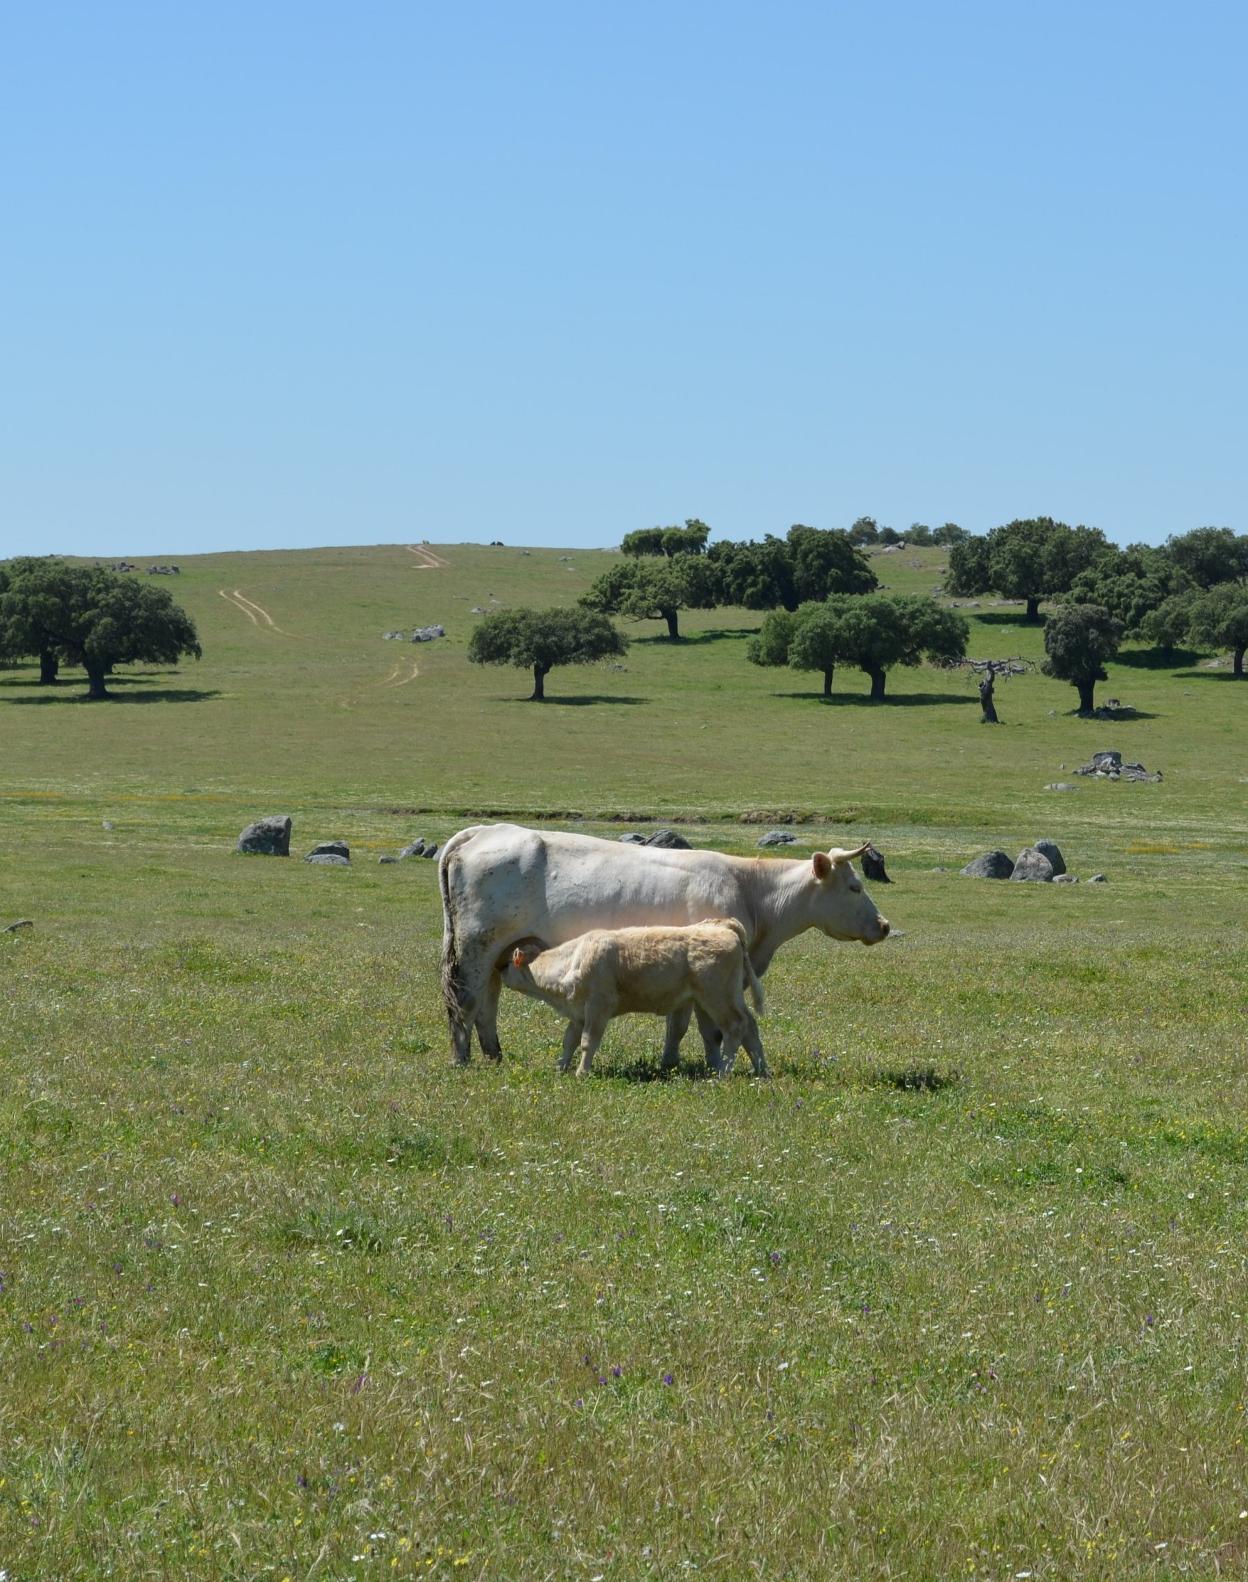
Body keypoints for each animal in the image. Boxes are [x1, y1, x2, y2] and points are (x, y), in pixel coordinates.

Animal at [499, 918, 767, 1078]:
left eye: (508, 962)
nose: (499, 971)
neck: (573, 960)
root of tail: (724, 926)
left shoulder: (598, 1006)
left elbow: (587, 1041)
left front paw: (581, 1072)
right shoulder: (578, 1013)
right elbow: (569, 1040)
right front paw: (560, 1068)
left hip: (718, 998)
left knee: (735, 1027)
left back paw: (724, 1073)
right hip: (728, 996)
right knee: (750, 1026)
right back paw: (762, 1070)